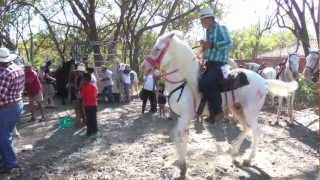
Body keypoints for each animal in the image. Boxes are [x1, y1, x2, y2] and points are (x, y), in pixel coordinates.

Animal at [142, 31, 298, 177]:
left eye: (157, 49)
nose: (144, 67)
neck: (184, 81)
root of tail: (264, 81)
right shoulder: (181, 118)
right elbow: (178, 137)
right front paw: (181, 163)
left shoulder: (186, 117)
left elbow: (179, 137)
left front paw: (183, 165)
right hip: (238, 109)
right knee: (246, 128)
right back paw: (233, 150)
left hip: (251, 112)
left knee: (256, 131)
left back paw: (248, 159)